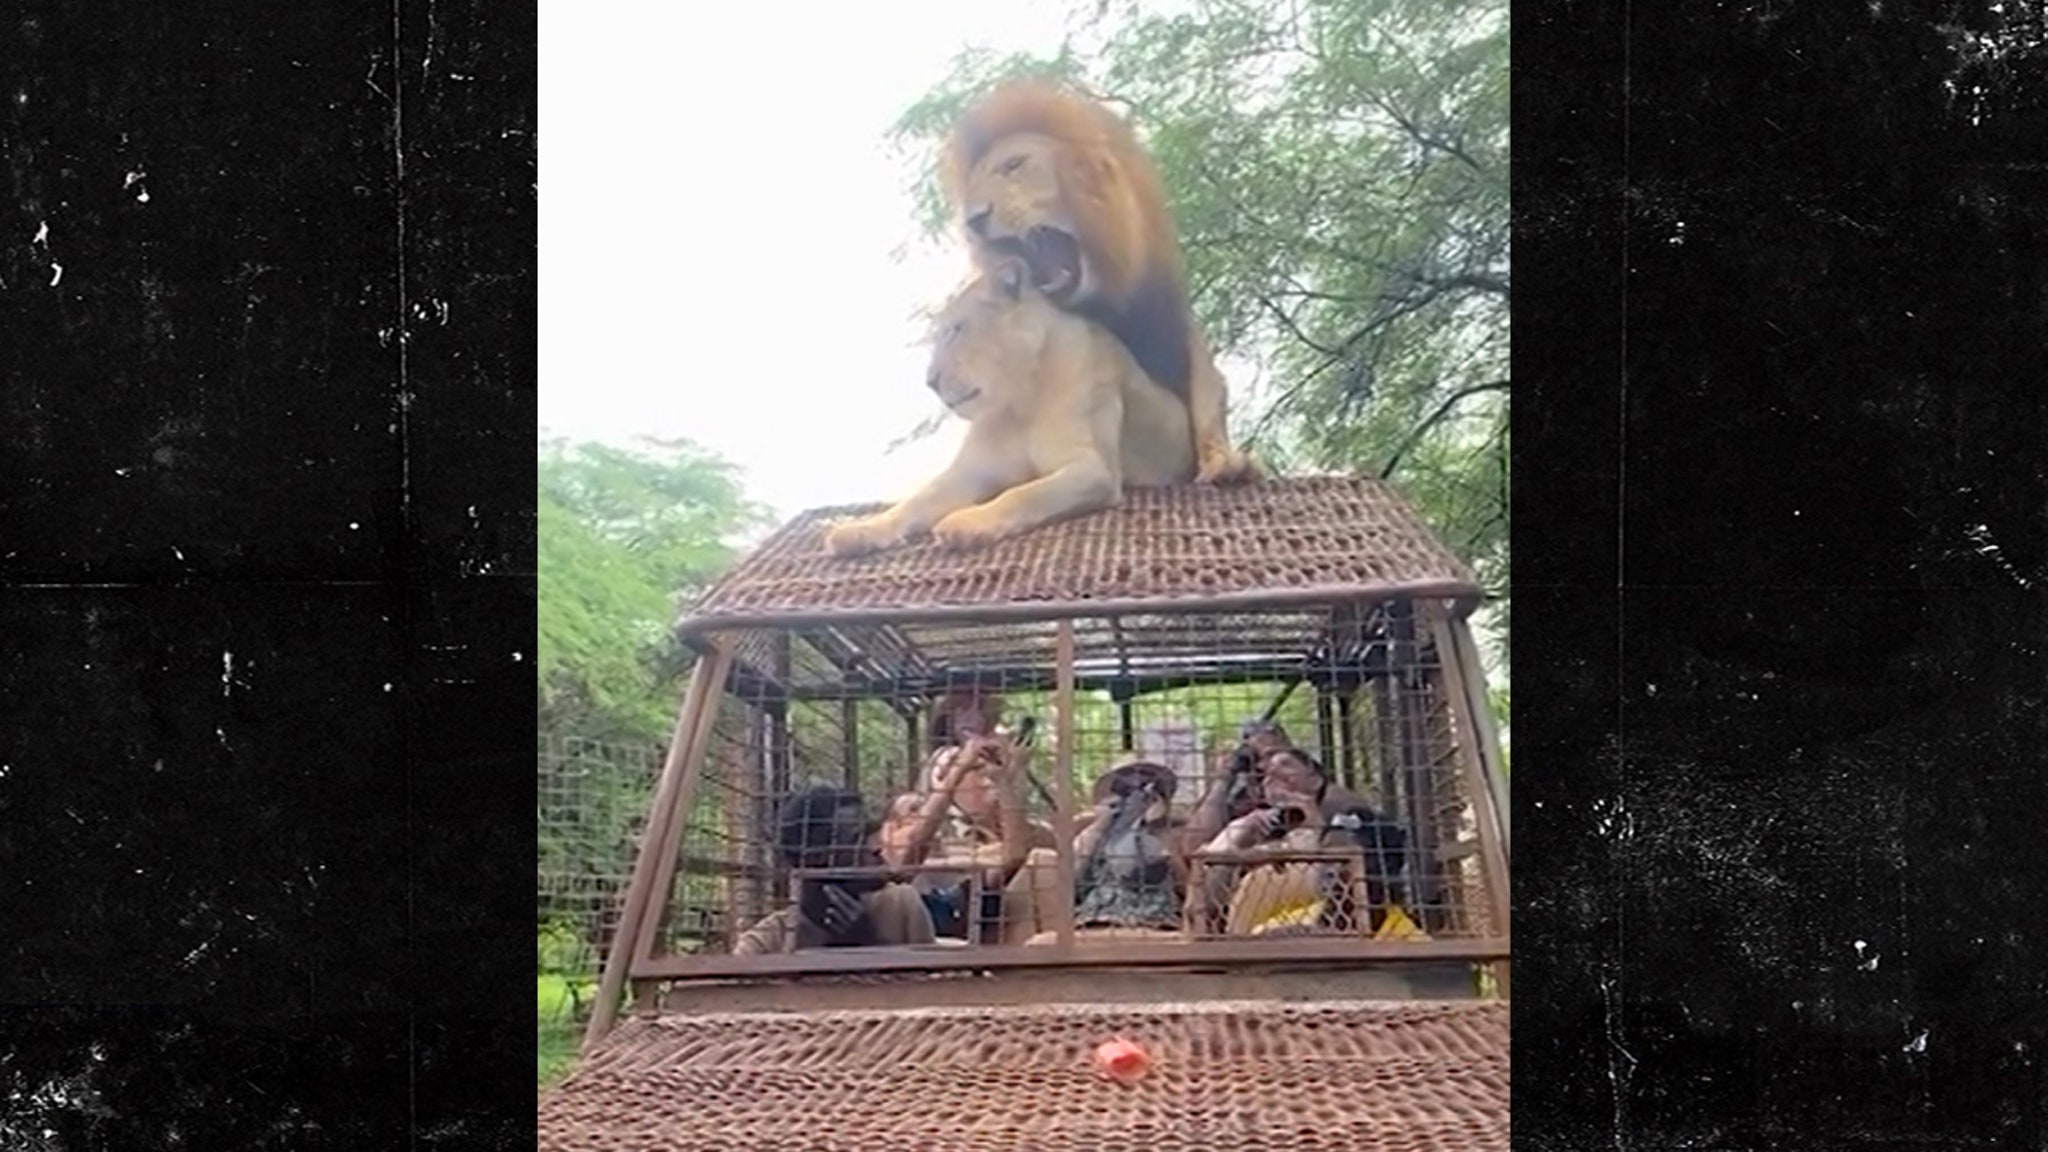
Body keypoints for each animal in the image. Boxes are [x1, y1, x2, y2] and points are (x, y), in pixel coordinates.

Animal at [823, 260, 1196, 557]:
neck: (1020, 401)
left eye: (955, 330)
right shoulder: (970, 472)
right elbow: (916, 501)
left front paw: (967, 523)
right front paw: (861, 529)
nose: (930, 381)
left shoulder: (1092, 468)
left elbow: (1024, 494)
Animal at [942, 78, 1261, 483]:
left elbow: (1208, 389)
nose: (974, 219)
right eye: (971, 190)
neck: (1107, 303)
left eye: (1012, 165)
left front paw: (1226, 462)